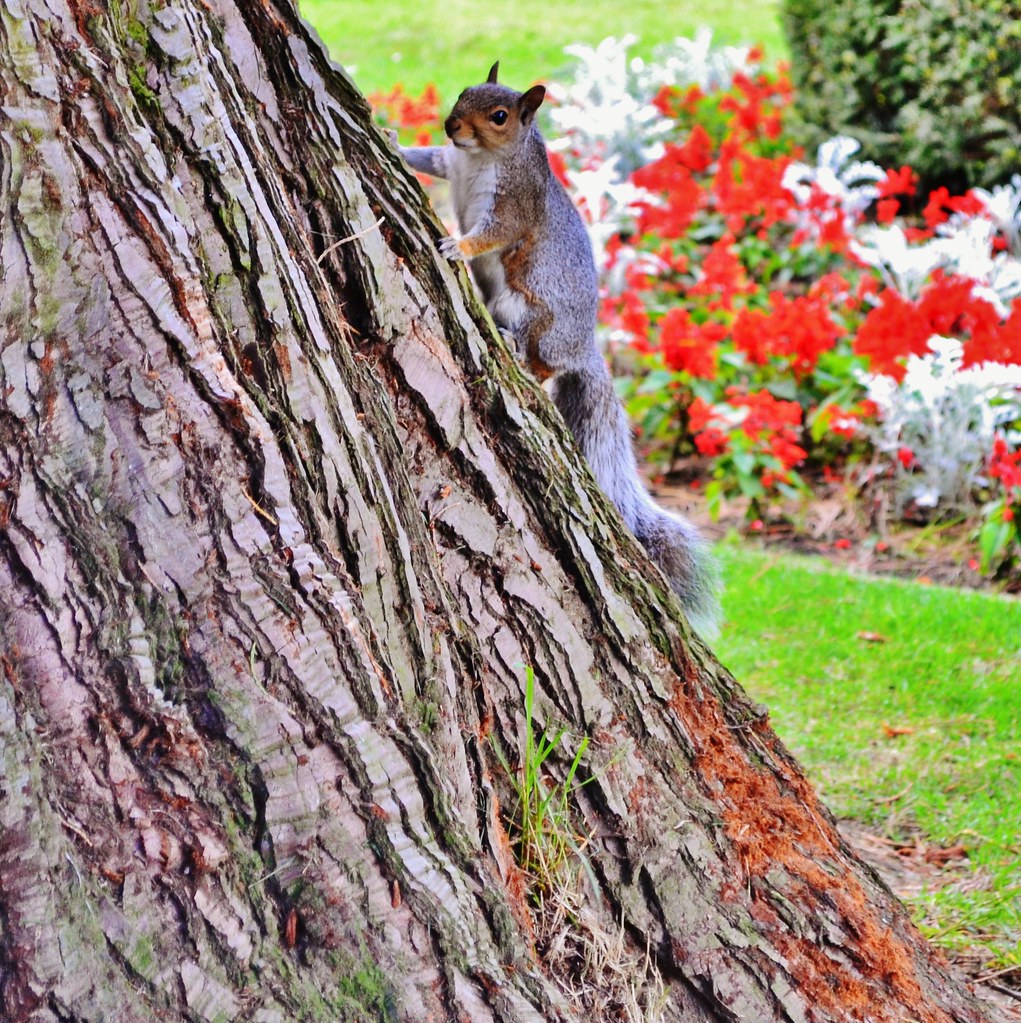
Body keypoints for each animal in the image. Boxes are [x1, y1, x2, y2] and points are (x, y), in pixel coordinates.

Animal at [394, 63, 720, 636]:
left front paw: (458, 245)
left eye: (500, 116)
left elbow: (496, 232)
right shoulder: (449, 162)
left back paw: (515, 346)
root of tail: (583, 349)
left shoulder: (515, 203)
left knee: (541, 362)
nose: (452, 125)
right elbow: (428, 159)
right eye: (464, 93)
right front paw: (391, 139)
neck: (481, 158)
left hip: (533, 311)